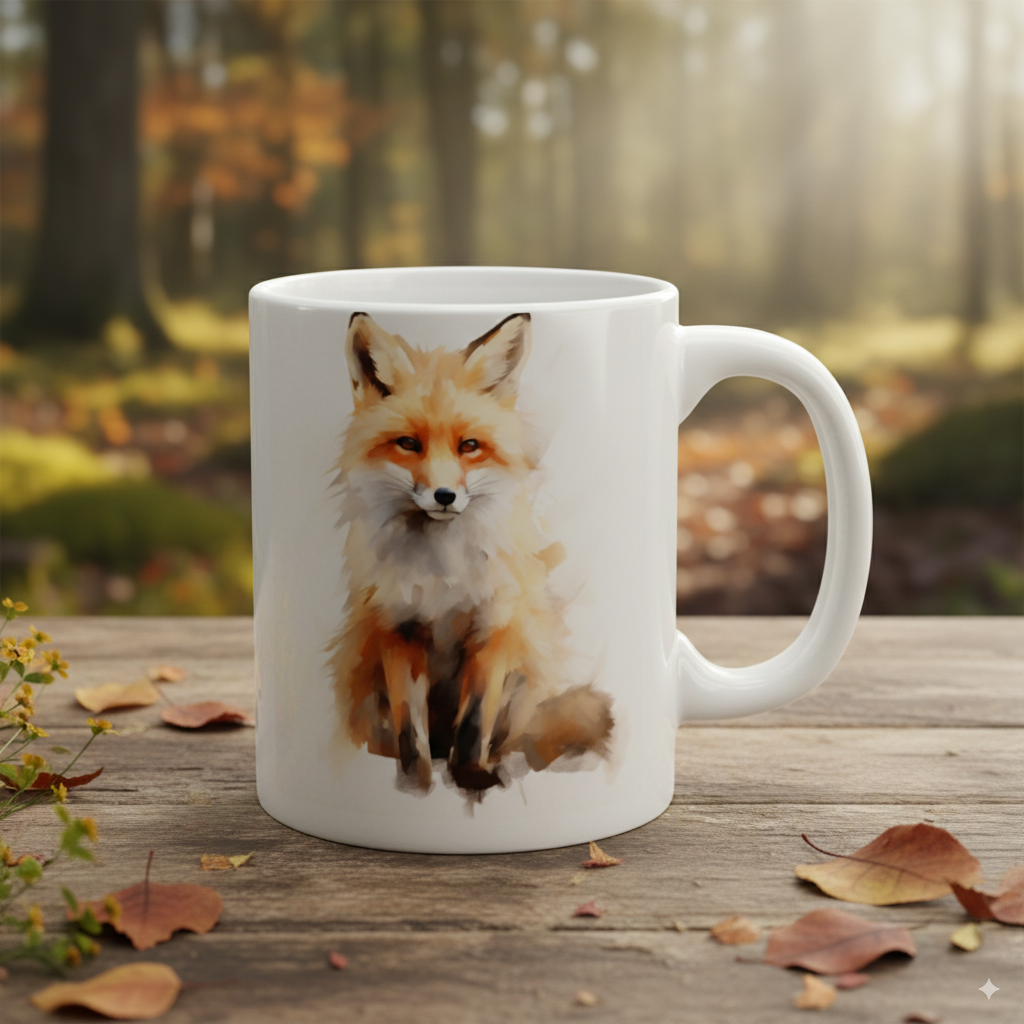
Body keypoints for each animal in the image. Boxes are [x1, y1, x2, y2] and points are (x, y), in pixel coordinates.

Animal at [328, 311, 614, 797]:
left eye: (469, 446)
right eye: (409, 444)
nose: (444, 496)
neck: (442, 575)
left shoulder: (492, 630)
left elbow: (474, 723)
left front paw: (472, 778)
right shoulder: (399, 632)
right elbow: (411, 731)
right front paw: (417, 785)